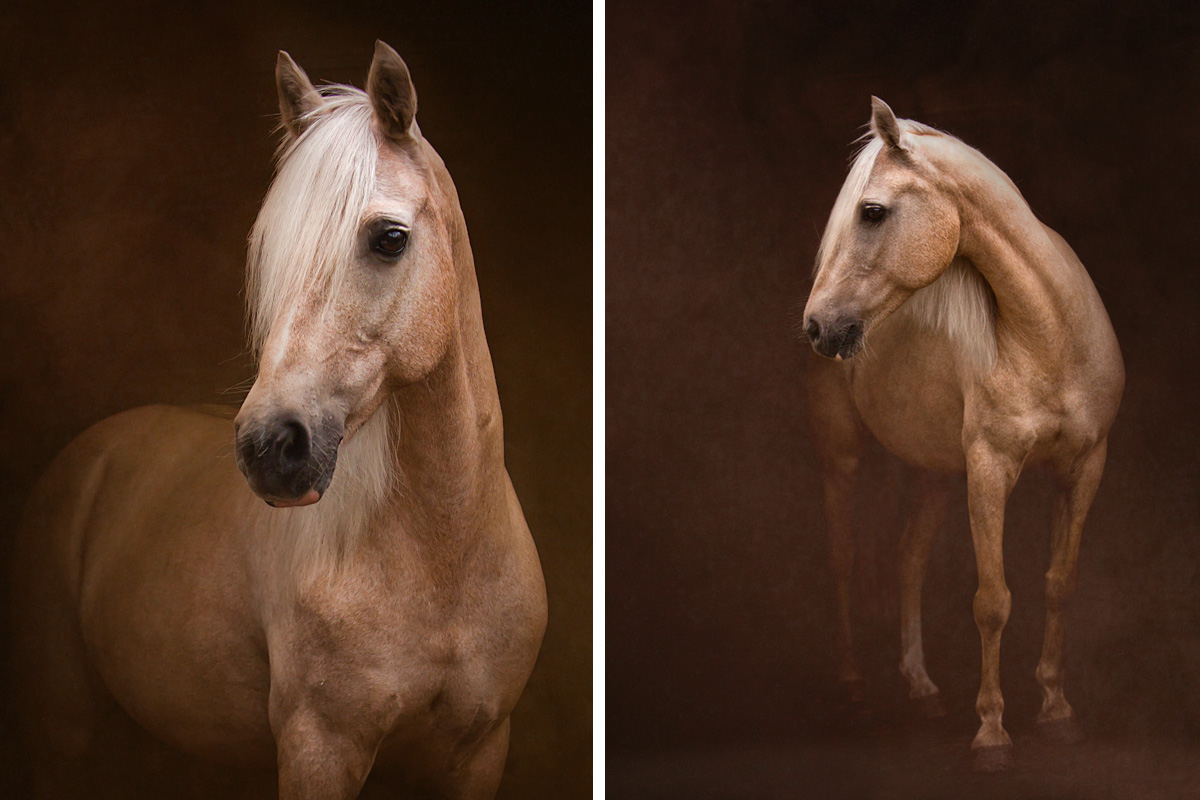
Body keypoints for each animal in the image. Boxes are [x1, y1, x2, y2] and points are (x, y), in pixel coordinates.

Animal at [8, 40, 544, 796]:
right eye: (271, 252)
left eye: (389, 238)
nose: (269, 447)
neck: (444, 559)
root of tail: (96, 448)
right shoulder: (321, 748)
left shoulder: (479, 750)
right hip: (63, 726)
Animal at [806, 98, 1123, 767]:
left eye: (872, 211)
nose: (817, 325)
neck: (1049, 336)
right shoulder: (990, 468)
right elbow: (993, 601)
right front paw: (992, 732)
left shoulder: (1086, 466)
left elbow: (1059, 585)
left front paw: (1057, 710)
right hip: (841, 455)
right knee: (843, 558)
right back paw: (853, 688)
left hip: (932, 472)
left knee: (908, 560)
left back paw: (922, 688)